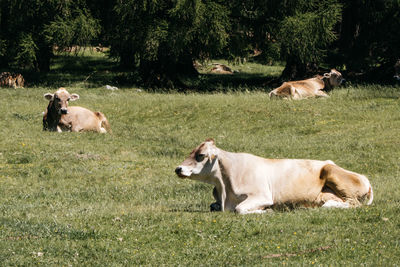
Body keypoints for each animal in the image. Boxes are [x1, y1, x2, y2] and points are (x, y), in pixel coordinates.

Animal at [175, 139, 372, 215]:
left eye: (200, 155)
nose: (178, 168)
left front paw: (266, 211)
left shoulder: (262, 195)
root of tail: (364, 178)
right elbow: (213, 206)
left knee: (353, 204)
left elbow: (240, 209)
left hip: (332, 172)